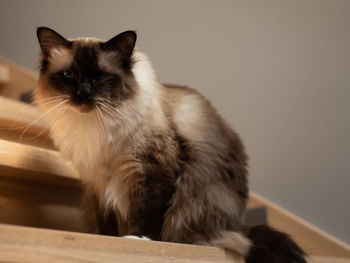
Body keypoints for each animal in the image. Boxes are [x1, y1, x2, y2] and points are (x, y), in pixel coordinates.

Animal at [34, 27, 304, 263]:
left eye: (99, 76)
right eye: (69, 75)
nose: (83, 93)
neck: (93, 125)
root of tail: (240, 225)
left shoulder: (152, 169)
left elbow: (148, 211)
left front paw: (138, 239)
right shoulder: (97, 182)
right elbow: (106, 221)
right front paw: (108, 240)